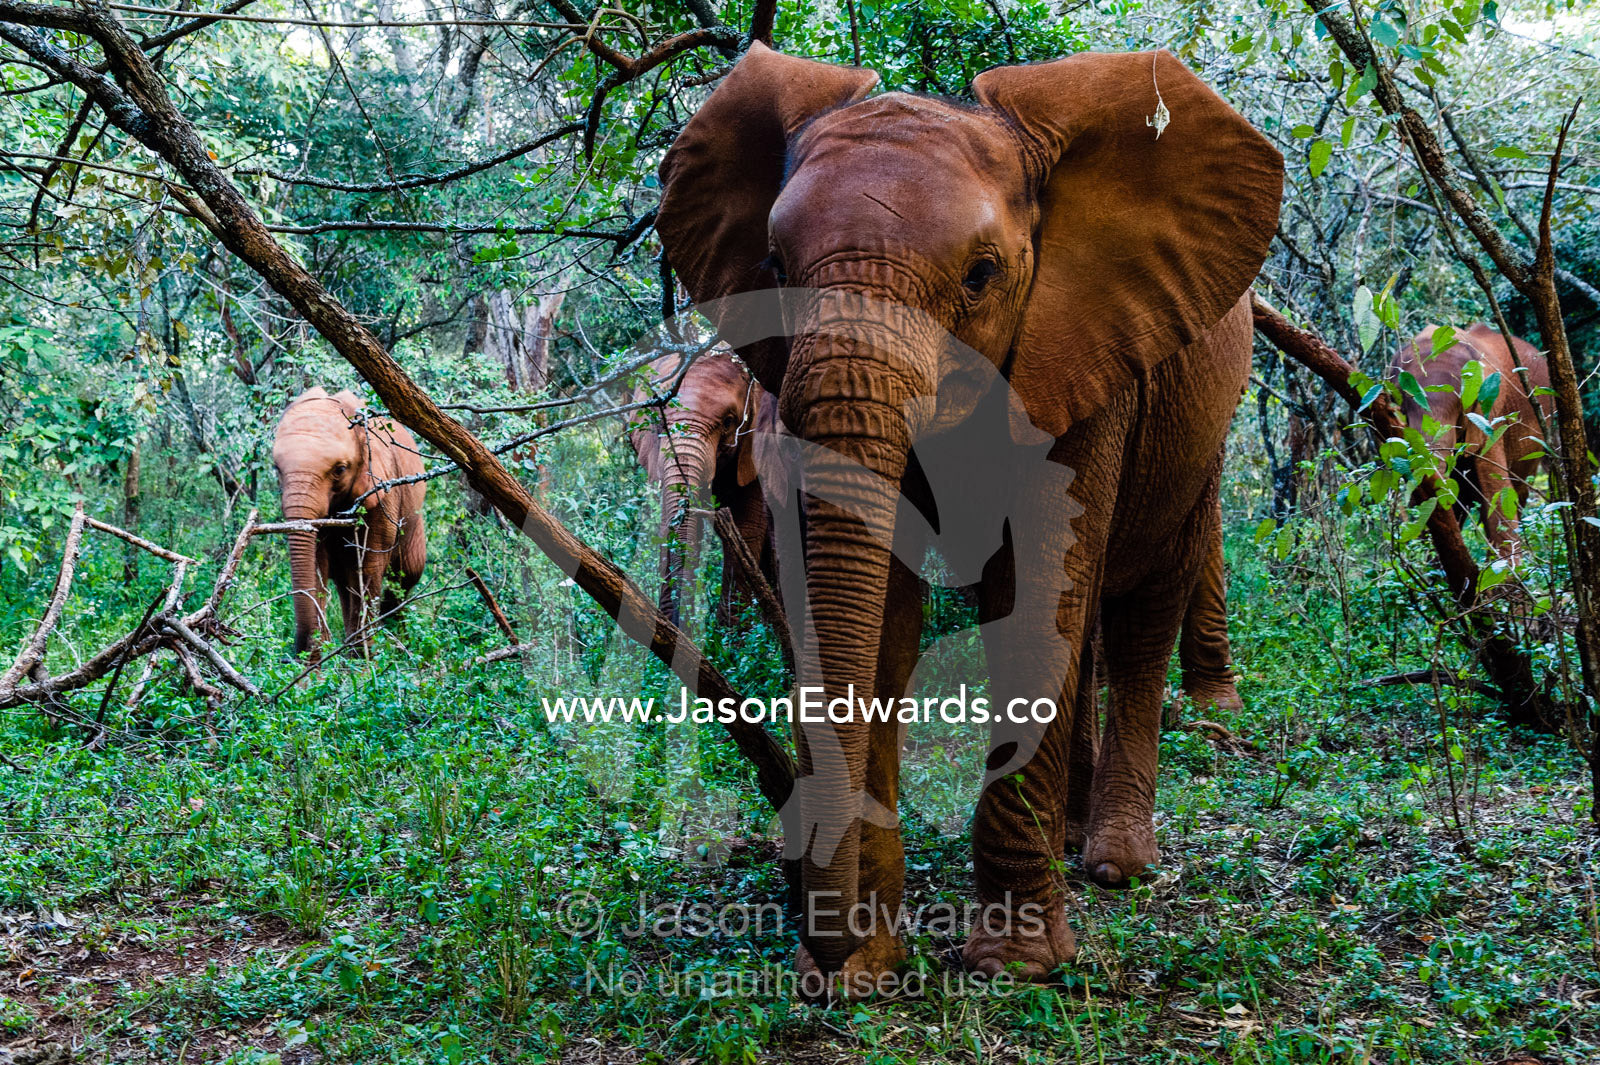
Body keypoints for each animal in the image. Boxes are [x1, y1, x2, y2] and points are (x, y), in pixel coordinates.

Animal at [271, 387, 428, 658]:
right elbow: (316, 563)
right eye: (276, 469)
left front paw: (365, 660)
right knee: (346, 584)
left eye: (340, 469)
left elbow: (369, 566)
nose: (297, 651)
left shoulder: (383, 491)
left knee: (405, 577)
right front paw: (319, 663)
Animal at [655, 44, 1281, 991]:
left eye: (982, 277)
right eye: (772, 264)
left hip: (1200, 424)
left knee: (1140, 604)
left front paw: (1015, 965)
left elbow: (1028, 600)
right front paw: (867, 967)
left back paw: (1114, 862)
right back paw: (1068, 835)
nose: (825, 947)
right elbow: (882, 617)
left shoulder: (1079, 351)